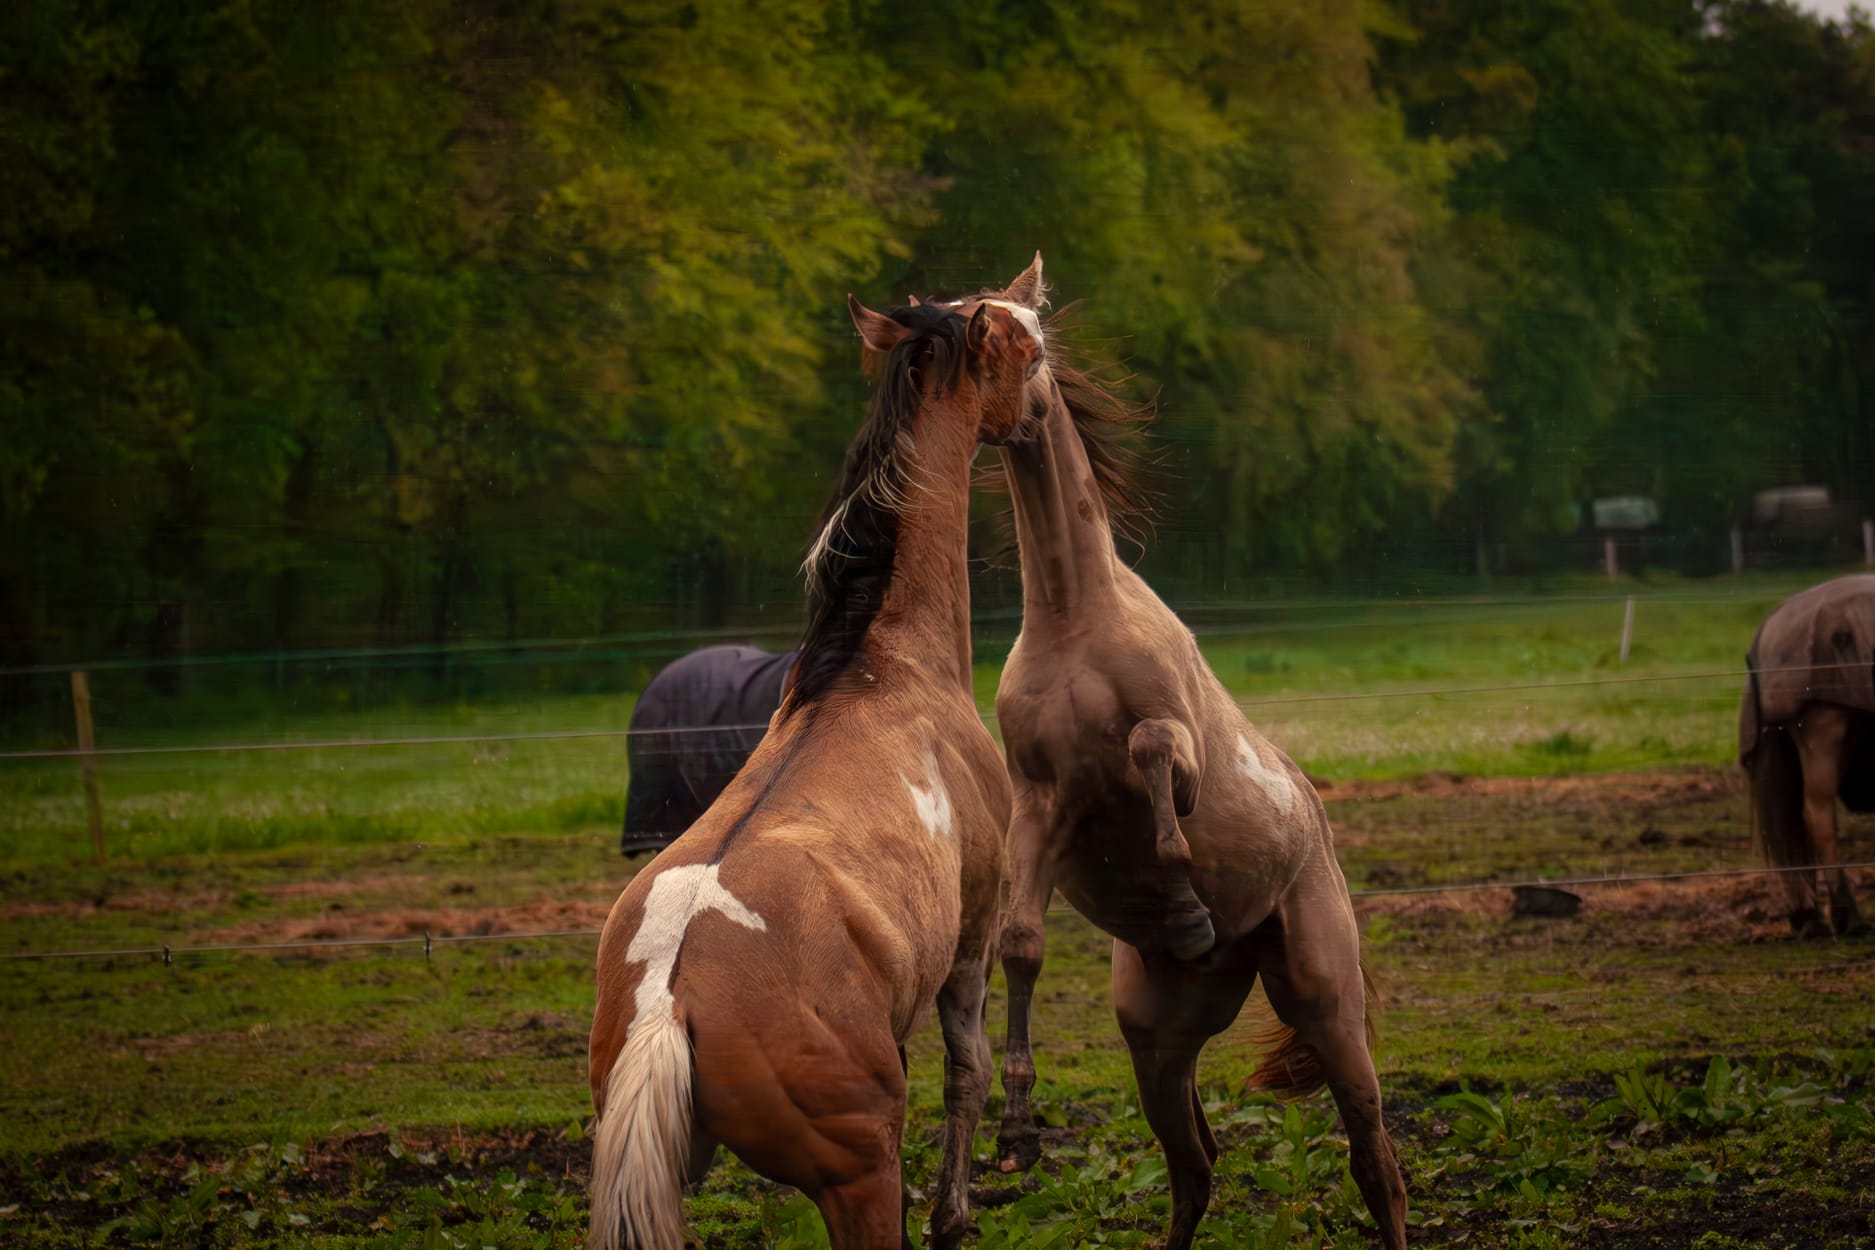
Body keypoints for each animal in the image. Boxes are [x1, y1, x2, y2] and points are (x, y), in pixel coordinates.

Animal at [952, 256, 1410, 1250]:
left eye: (1030, 342)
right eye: (970, 331)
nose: (994, 420)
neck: (1076, 613)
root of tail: (1316, 827)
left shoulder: (1174, 750)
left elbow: (1157, 767)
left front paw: (1189, 907)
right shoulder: (1041, 802)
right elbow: (1020, 943)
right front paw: (1016, 1138)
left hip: (1326, 1002)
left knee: (1375, 1161)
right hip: (1157, 1042)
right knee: (1195, 1167)